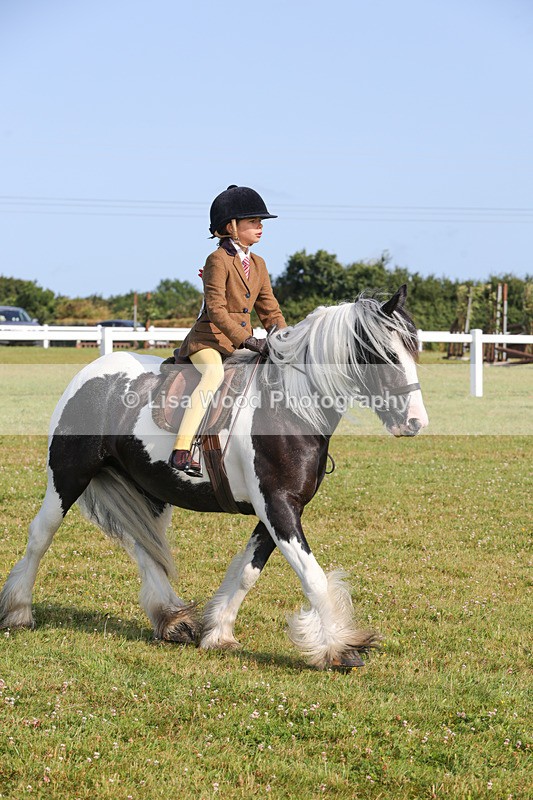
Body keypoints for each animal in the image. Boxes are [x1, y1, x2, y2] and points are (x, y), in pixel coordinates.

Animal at [0, 285, 428, 669]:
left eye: (414, 351)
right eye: (388, 355)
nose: (415, 422)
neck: (289, 406)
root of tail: (89, 374)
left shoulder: (277, 510)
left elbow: (248, 574)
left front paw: (218, 632)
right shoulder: (279, 507)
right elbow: (313, 576)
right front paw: (338, 648)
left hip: (150, 490)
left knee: (144, 546)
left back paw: (171, 620)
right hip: (67, 477)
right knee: (41, 536)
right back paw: (19, 612)